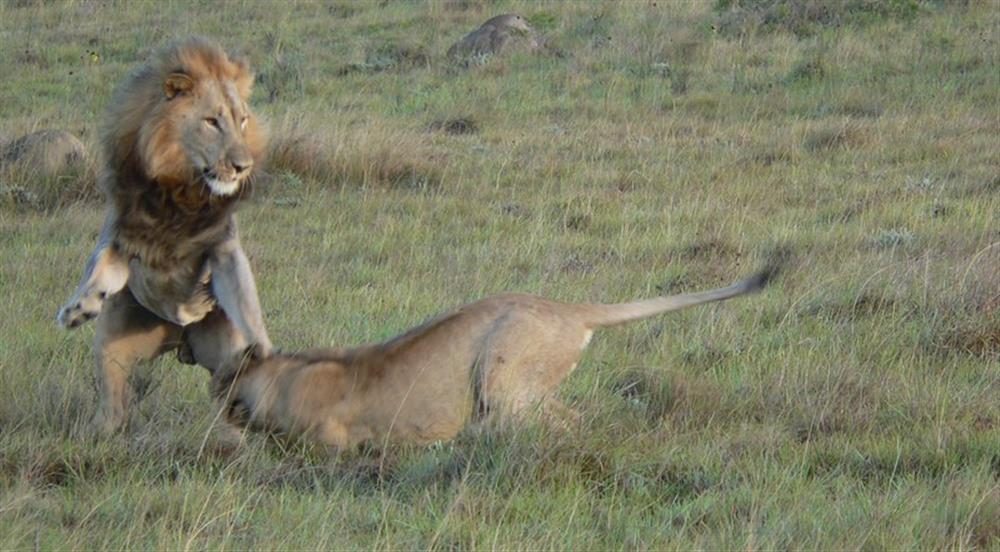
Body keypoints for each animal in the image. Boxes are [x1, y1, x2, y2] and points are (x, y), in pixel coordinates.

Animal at [56, 37, 272, 436]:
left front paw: (262, 345)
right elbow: (98, 267)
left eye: (242, 120)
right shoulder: (121, 235)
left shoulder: (222, 248)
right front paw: (79, 307)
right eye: (211, 121)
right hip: (110, 353)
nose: (243, 166)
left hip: (226, 363)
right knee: (114, 410)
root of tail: (179, 343)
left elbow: (243, 295)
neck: (181, 190)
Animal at [209, 270, 772, 450]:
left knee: (562, 423)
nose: (217, 401)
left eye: (225, 380)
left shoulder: (332, 441)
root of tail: (567, 308)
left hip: (503, 377)